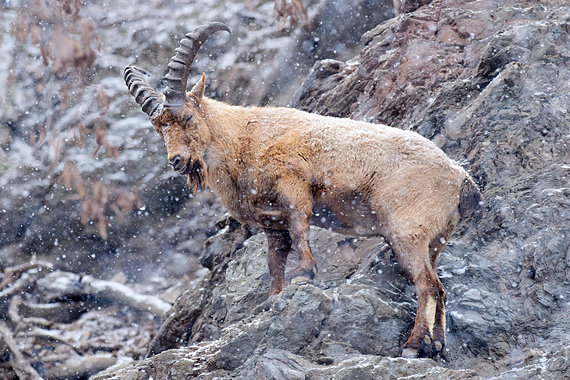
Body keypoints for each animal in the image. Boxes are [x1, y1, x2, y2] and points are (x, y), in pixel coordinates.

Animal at [123, 22, 480, 358]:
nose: (177, 161)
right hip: (434, 241)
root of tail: (460, 178)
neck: (242, 140)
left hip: (407, 233)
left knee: (426, 286)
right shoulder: (271, 222)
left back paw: (414, 344)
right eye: (158, 129)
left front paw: (305, 272)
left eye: (186, 118)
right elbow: (274, 259)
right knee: (440, 288)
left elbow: (300, 224)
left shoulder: (292, 180)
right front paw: (273, 297)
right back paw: (437, 345)